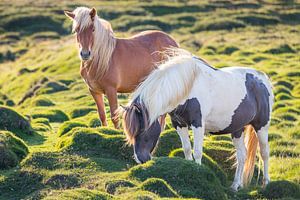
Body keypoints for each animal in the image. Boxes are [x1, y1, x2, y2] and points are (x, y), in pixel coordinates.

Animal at [120, 48, 274, 191]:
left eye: (143, 129)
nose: (141, 159)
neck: (188, 89)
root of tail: (262, 79)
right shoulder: (179, 124)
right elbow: (187, 149)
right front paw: (190, 169)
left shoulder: (198, 124)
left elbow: (198, 152)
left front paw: (199, 174)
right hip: (237, 129)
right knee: (242, 155)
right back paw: (236, 185)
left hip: (262, 126)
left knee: (264, 153)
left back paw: (266, 183)